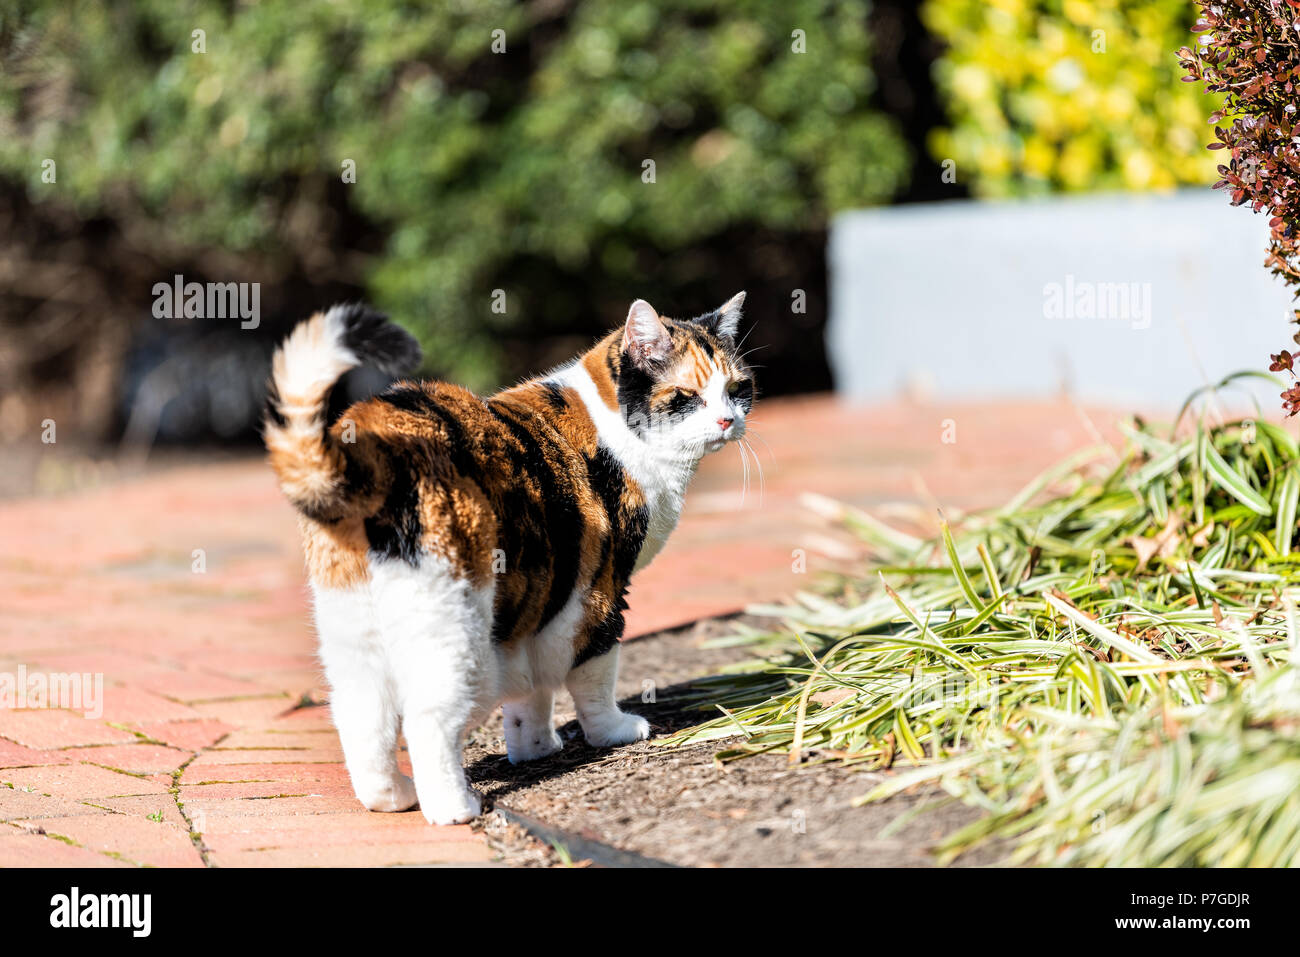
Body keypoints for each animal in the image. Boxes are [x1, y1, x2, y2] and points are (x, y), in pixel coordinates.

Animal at [263, 291, 754, 821]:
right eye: (687, 396)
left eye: (738, 388)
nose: (728, 420)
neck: (613, 423)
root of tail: (370, 446)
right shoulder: (598, 594)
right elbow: (594, 674)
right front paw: (612, 732)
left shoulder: (541, 593)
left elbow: (530, 687)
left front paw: (534, 747)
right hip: (454, 629)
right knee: (427, 718)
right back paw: (454, 807)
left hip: (354, 630)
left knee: (360, 715)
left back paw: (392, 796)